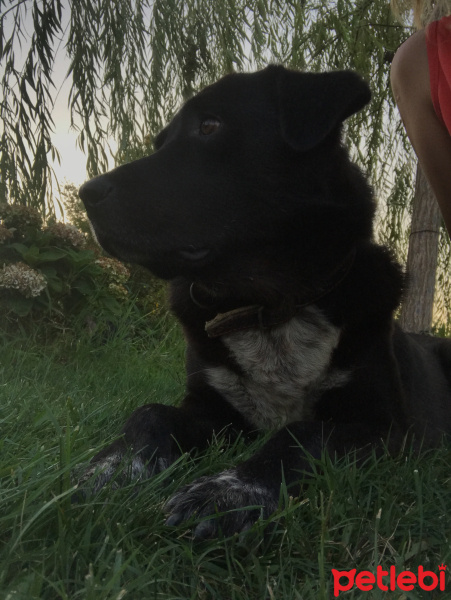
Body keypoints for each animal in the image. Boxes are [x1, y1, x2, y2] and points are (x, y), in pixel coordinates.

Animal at [79, 65, 451, 540]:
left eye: (210, 126)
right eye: (161, 142)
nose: (86, 193)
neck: (268, 304)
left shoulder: (384, 428)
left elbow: (303, 434)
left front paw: (230, 492)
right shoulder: (212, 409)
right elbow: (150, 413)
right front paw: (115, 465)